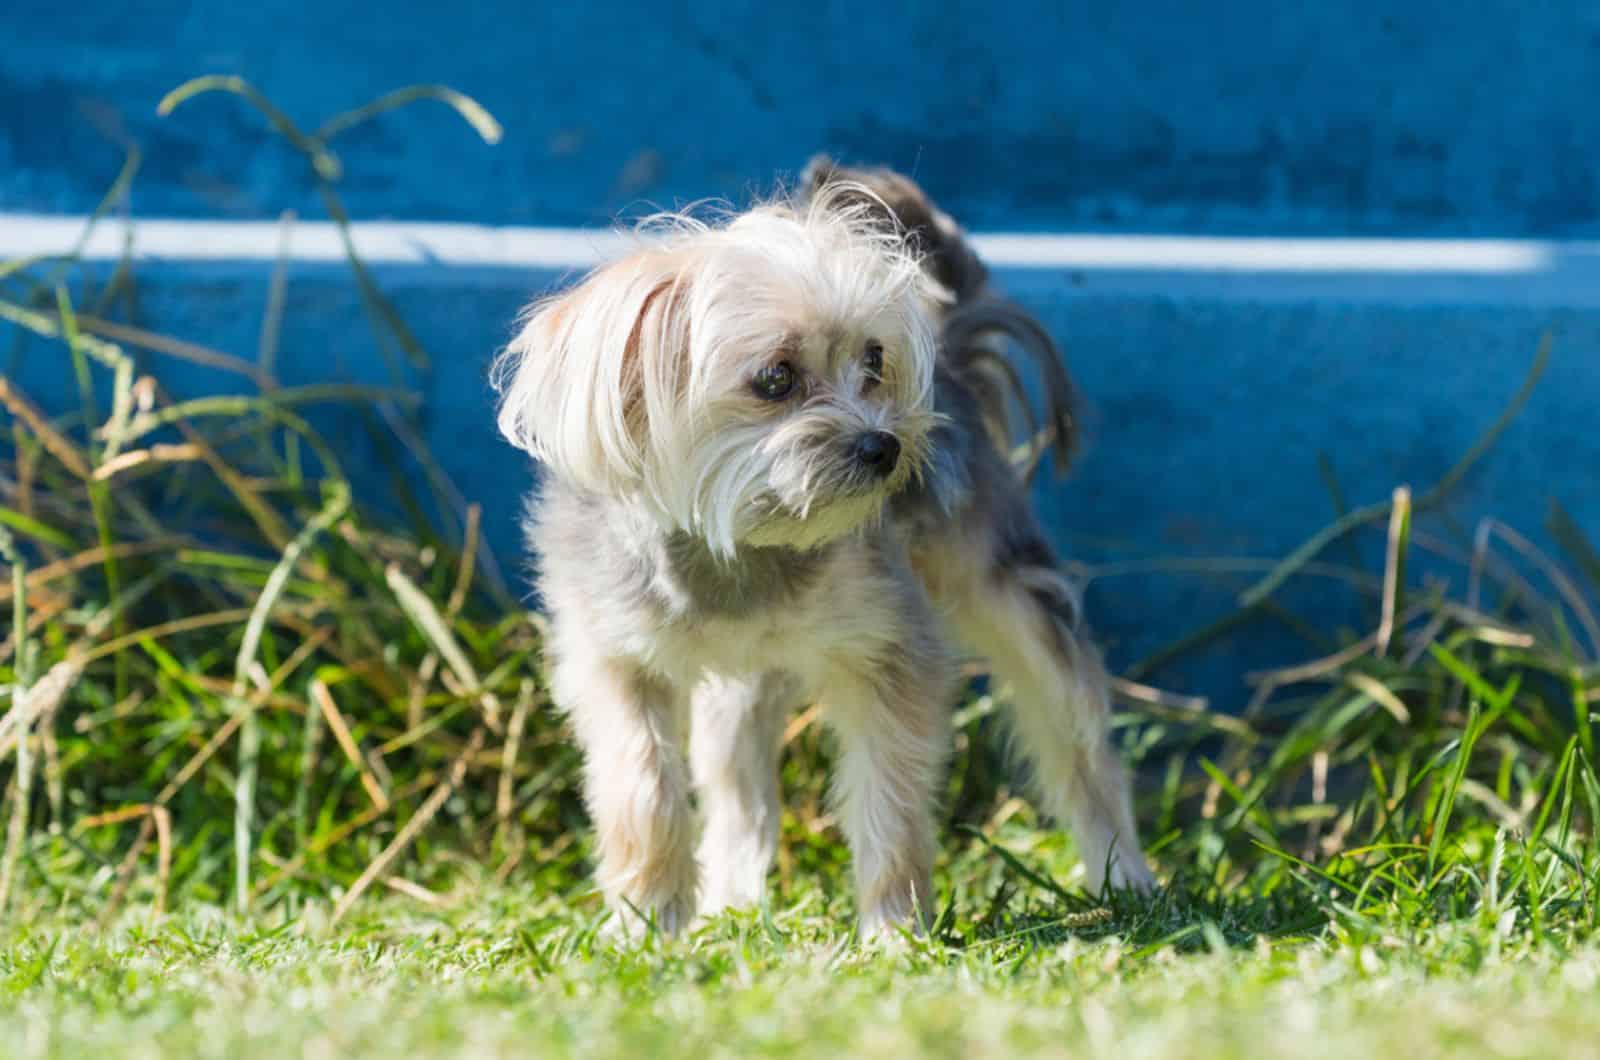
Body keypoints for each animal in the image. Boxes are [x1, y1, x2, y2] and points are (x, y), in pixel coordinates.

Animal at [489, 157, 1152, 941]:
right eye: (776, 378)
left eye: (874, 360)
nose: (885, 445)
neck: (743, 548)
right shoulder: (617, 662)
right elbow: (643, 792)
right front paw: (647, 924)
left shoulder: (889, 655)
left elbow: (888, 801)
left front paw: (894, 929)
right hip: (740, 689)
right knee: (739, 801)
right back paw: (732, 905)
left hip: (1016, 602)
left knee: (1080, 749)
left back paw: (1127, 881)